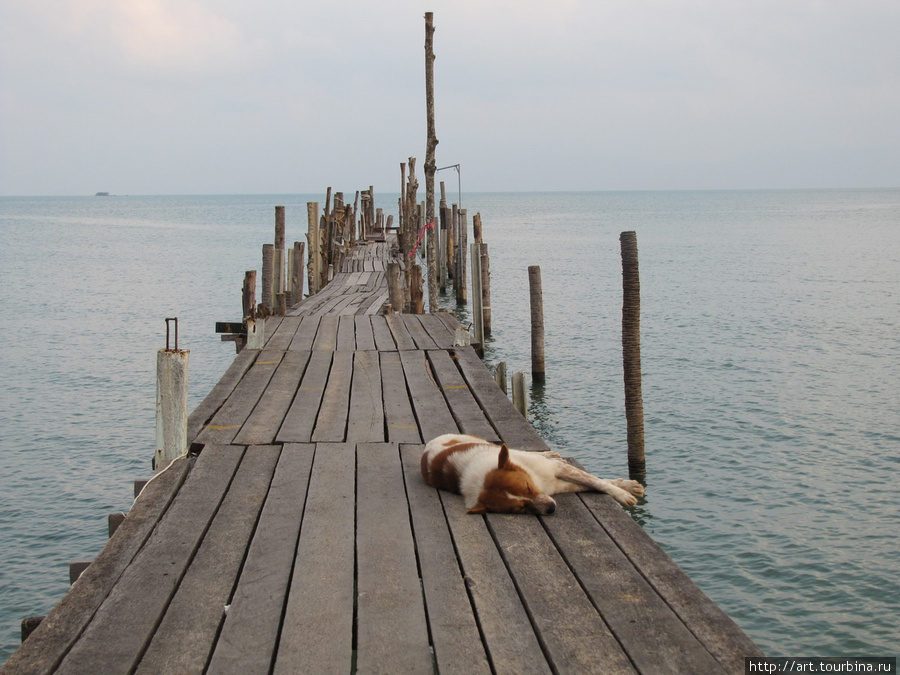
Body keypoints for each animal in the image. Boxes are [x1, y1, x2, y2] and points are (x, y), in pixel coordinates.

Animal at [418, 436, 644, 516]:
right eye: (520, 508)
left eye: (527, 487)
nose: (551, 508)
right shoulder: (555, 486)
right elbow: (593, 484)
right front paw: (624, 489)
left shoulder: (556, 472)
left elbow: (598, 482)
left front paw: (625, 491)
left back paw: (548, 453)